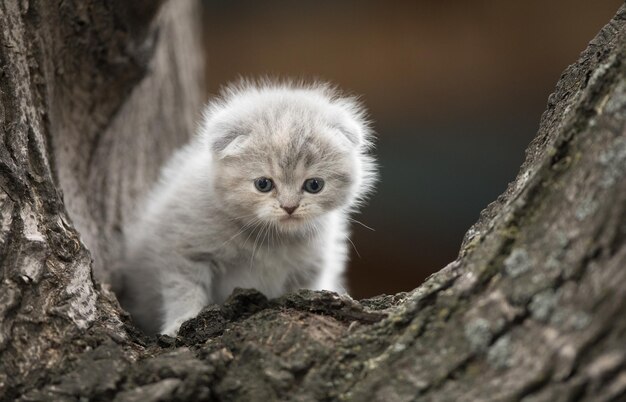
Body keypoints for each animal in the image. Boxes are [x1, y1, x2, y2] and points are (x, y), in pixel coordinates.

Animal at [112, 80, 376, 334]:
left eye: (314, 185)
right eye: (263, 184)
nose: (289, 207)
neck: (271, 240)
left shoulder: (311, 269)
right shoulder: (185, 249)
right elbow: (184, 289)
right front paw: (180, 322)